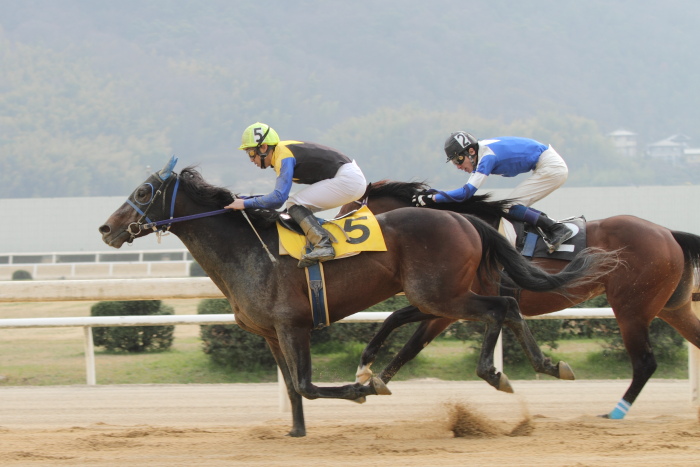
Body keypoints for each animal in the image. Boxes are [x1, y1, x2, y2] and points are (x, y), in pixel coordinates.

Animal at [98, 159, 616, 436]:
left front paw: (365, 387)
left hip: (440, 293)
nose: (106, 228)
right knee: (496, 310)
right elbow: (292, 387)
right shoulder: (270, 333)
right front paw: (296, 430)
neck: (250, 251)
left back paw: (515, 370)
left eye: (143, 191)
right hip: (441, 295)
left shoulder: (294, 326)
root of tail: (464, 218)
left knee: (502, 308)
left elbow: (307, 384)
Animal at [338, 180, 700, 420]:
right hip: (673, 307)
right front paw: (367, 381)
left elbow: (403, 330)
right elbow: (403, 334)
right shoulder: (440, 305)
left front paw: (366, 377)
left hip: (630, 309)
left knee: (645, 362)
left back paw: (615, 413)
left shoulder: (449, 304)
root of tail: (668, 233)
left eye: (348, 211)